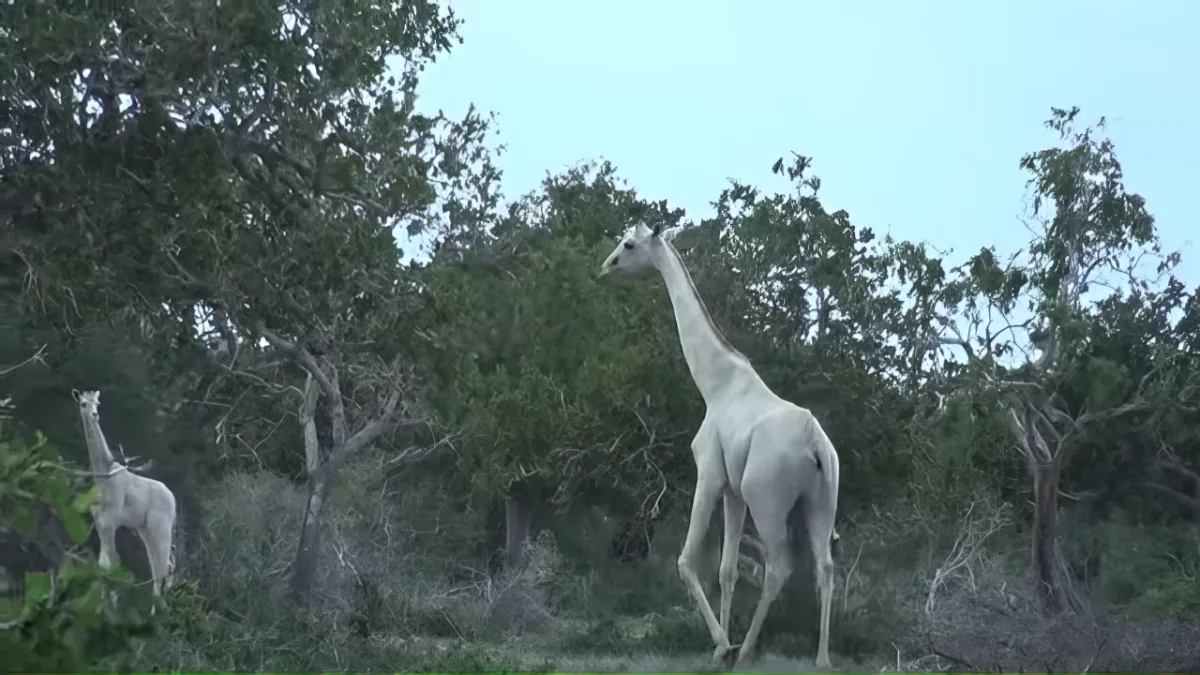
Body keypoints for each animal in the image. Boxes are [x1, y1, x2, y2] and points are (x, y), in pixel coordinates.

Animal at [74, 390, 177, 601]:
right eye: (83, 403)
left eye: (97, 403)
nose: (95, 414)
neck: (102, 477)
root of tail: (173, 499)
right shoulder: (100, 522)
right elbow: (104, 564)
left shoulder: (111, 521)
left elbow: (111, 564)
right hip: (145, 529)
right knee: (163, 565)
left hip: (160, 526)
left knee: (162, 567)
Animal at [599, 223, 841, 668]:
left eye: (629, 243)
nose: (607, 266)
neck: (715, 384)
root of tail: (817, 445)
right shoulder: (733, 492)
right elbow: (727, 570)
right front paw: (718, 647)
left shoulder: (709, 475)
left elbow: (687, 561)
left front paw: (722, 644)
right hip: (820, 501)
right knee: (825, 567)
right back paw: (821, 659)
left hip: (769, 501)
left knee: (779, 567)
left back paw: (746, 650)